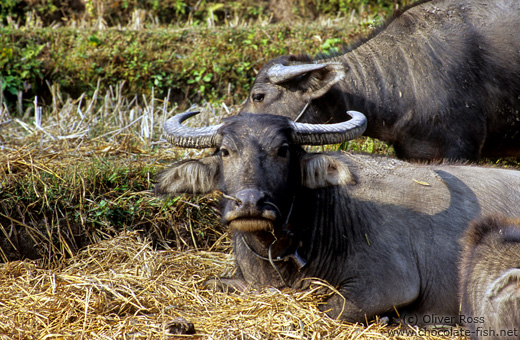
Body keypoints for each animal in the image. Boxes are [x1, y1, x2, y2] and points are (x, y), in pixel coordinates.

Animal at [155, 111, 520, 324]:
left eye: (283, 150)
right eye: (225, 151)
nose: (249, 203)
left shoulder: (389, 286)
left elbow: (328, 309)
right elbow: (210, 283)